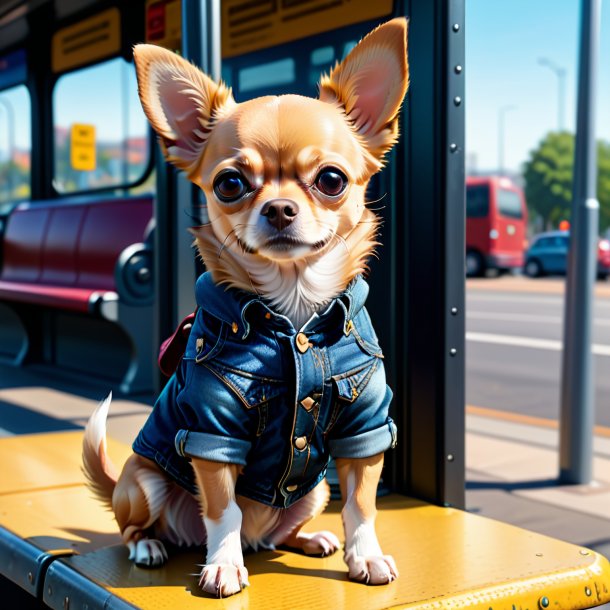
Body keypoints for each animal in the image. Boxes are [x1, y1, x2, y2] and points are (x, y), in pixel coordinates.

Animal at [79, 17, 404, 592]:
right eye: (230, 184)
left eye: (332, 180)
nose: (278, 208)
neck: (295, 314)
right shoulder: (212, 431)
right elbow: (223, 509)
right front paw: (223, 566)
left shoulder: (365, 426)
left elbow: (363, 505)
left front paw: (365, 557)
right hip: (143, 482)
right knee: (139, 526)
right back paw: (151, 546)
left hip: (315, 490)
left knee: (278, 534)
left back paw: (309, 539)